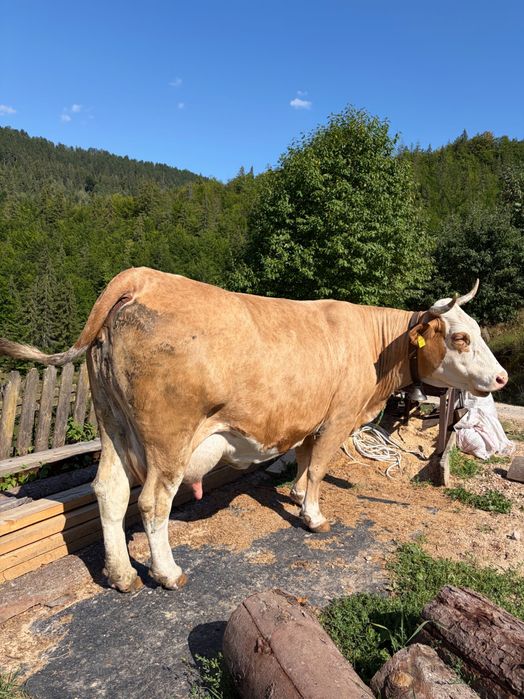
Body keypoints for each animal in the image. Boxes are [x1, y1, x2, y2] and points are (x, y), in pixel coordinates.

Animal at [0, 268, 508, 592]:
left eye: (479, 331)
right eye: (460, 337)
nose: (503, 378)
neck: (375, 345)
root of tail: (142, 276)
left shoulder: (309, 418)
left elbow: (304, 460)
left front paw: (296, 494)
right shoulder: (338, 418)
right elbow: (319, 469)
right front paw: (312, 516)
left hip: (113, 425)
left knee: (109, 491)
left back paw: (122, 575)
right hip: (167, 438)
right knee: (152, 502)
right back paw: (167, 573)